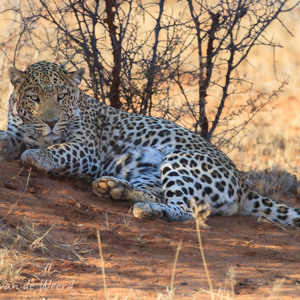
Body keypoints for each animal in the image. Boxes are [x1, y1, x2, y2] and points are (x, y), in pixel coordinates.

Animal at [0, 61, 298, 225]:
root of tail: (242, 183)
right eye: (35, 98)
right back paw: (114, 189)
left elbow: (58, 150)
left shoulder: (87, 151)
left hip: (180, 161)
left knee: (186, 210)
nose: (51, 122)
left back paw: (145, 209)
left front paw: (37, 155)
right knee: (158, 194)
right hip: (145, 172)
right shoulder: (17, 131)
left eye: (61, 97)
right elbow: (8, 137)